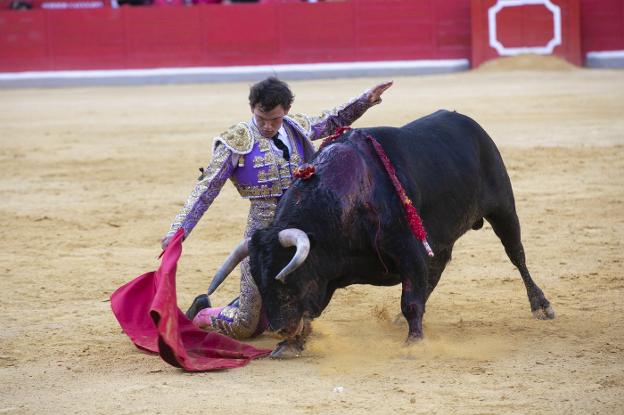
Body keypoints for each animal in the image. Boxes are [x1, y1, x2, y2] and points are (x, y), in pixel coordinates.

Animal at [219, 110, 556, 358]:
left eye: (288, 278)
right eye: (258, 281)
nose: (279, 329)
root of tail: (470, 124)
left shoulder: (408, 248)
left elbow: (410, 301)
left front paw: (414, 342)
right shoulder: (330, 273)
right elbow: (313, 310)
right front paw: (291, 345)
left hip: (503, 208)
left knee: (516, 254)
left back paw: (541, 305)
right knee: (437, 268)